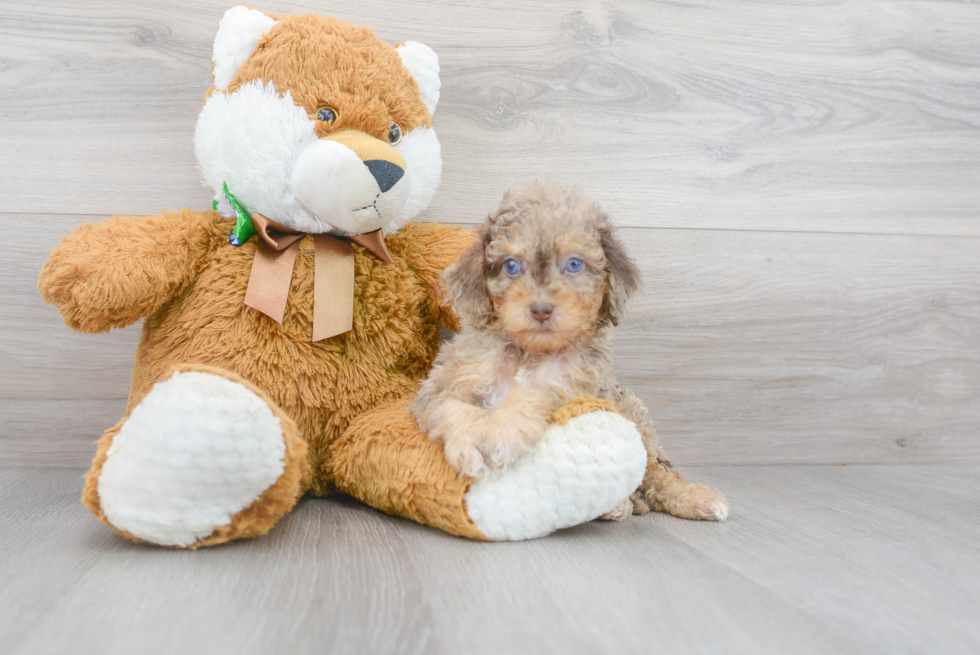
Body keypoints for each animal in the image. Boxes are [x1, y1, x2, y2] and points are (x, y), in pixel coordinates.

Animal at [410, 181, 732, 524]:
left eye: (574, 264)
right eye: (511, 266)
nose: (541, 309)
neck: (529, 353)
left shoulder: (574, 388)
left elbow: (532, 396)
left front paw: (501, 435)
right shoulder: (442, 383)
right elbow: (450, 406)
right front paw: (472, 441)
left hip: (632, 413)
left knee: (658, 472)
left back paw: (693, 498)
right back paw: (619, 505)